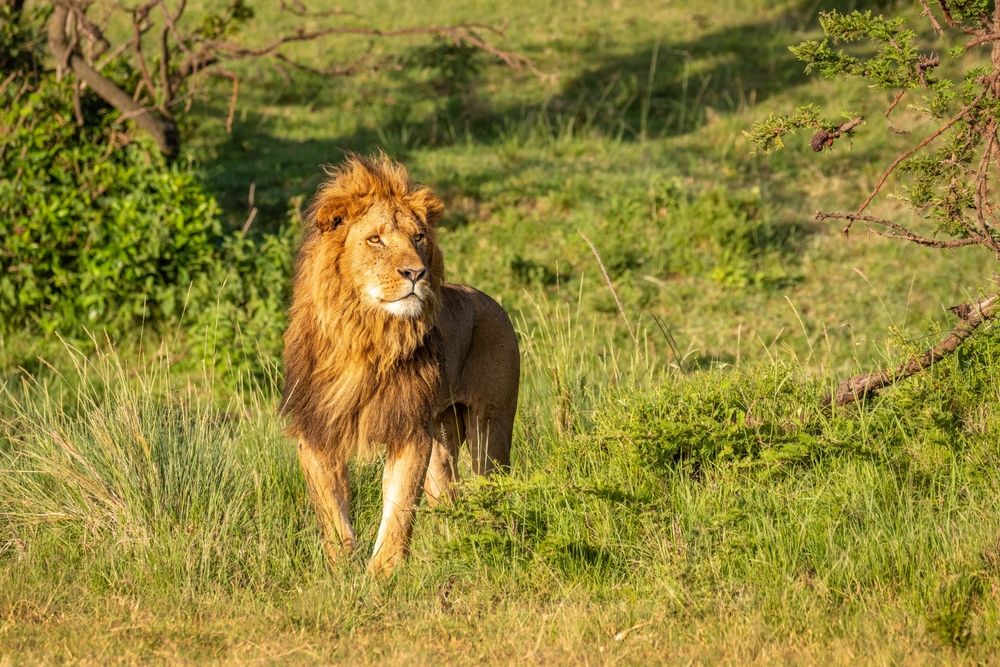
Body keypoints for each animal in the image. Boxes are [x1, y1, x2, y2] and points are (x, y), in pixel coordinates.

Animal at [280, 153, 520, 576]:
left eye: (418, 237)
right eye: (375, 239)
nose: (415, 273)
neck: (365, 336)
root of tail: (491, 300)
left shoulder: (409, 431)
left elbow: (399, 508)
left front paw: (382, 576)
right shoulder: (317, 429)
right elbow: (332, 511)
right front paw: (342, 571)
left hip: (489, 429)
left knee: (492, 486)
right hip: (441, 435)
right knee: (447, 494)